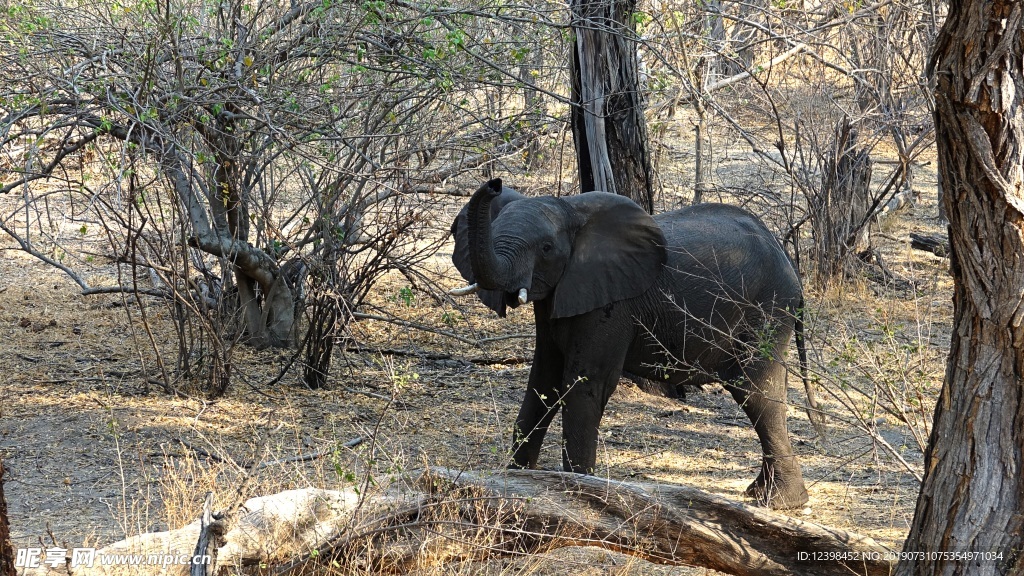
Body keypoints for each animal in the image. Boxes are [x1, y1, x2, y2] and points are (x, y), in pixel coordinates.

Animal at [450, 178, 810, 508]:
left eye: (546, 248)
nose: (494, 184)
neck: (570, 211)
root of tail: (786, 255)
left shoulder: (612, 304)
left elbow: (584, 386)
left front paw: (580, 495)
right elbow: (543, 384)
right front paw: (516, 481)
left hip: (769, 308)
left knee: (755, 390)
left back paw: (779, 502)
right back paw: (762, 494)